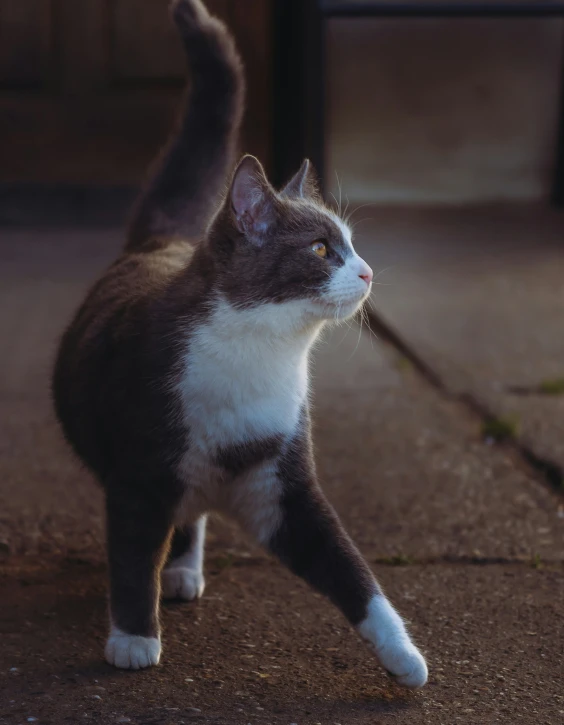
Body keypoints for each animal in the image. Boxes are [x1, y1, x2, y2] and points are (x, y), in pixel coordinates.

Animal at [53, 0, 428, 692]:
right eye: (321, 249)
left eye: (351, 245)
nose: (367, 272)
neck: (263, 353)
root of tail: (164, 241)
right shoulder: (138, 472)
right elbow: (131, 554)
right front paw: (133, 639)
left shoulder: (285, 482)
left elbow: (349, 567)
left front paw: (404, 655)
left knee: (192, 516)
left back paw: (183, 568)